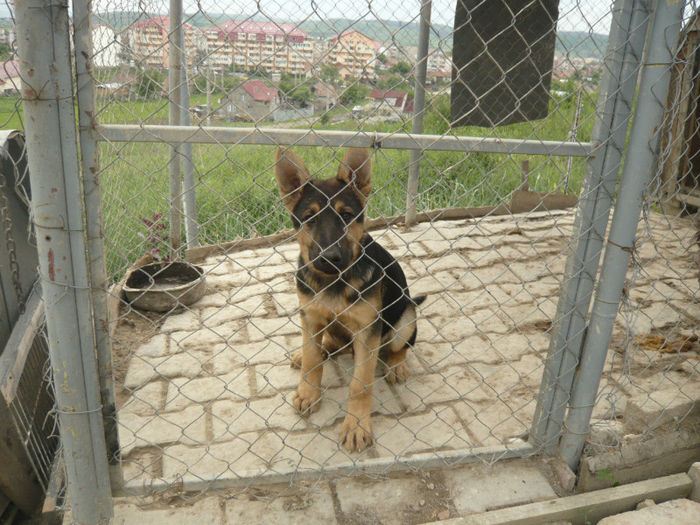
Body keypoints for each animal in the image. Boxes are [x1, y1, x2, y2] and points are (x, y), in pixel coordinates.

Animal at [276, 146, 424, 450]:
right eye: (309, 218)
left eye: (346, 215)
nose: (329, 257)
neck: (334, 280)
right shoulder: (309, 317)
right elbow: (312, 361)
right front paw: (308, 392)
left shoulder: (367, 332)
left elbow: (360, 384)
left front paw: (356, 425)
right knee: (328, 345)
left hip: (406, 317)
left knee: (399, 347)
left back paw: (397, 366)